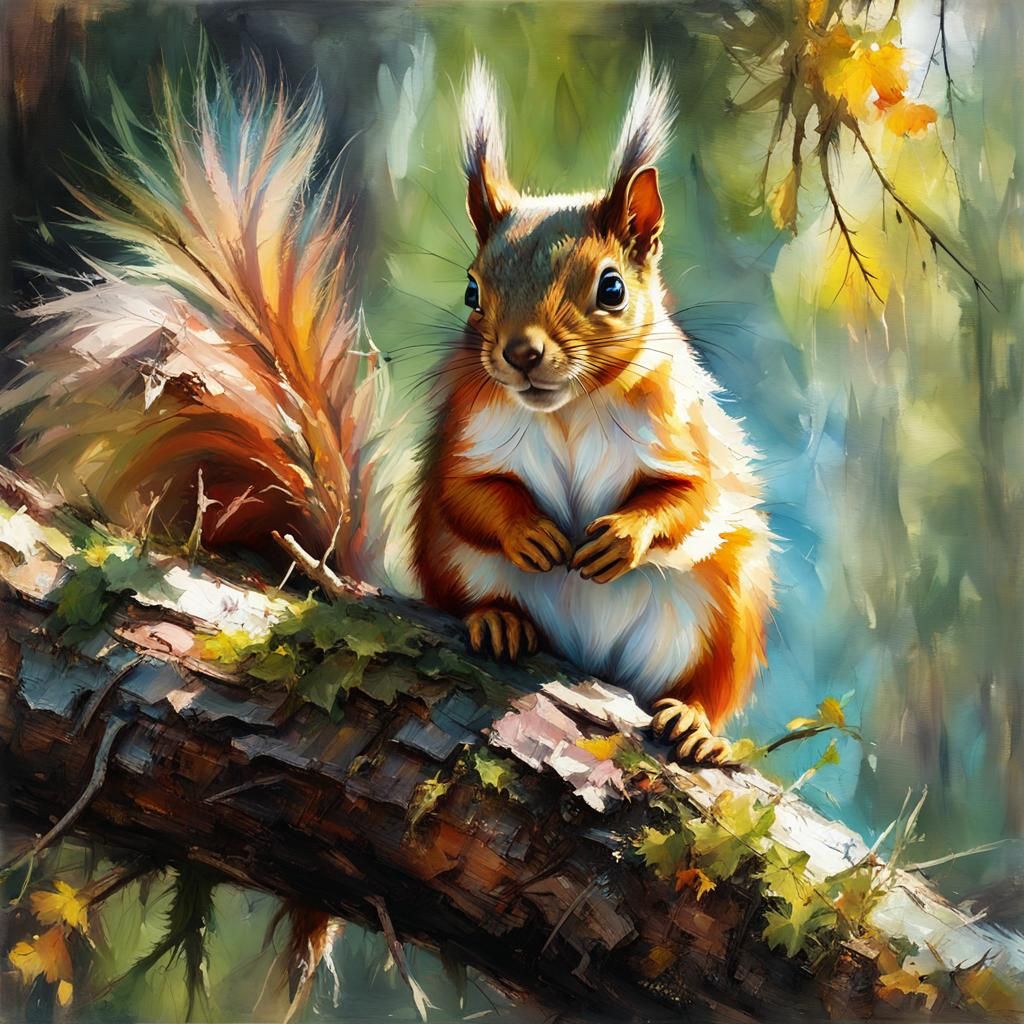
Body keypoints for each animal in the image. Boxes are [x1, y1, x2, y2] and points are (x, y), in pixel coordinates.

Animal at [412, 55, 775, 764]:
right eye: (472, 291)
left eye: (612, 288)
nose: (521, 353)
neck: (568, 409)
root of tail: (591, 657)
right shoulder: (464, 434)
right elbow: (463, 492)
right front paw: (530, 531)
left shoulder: (683, 433)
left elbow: (690, 497)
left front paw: (622, 537)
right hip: (449, 561)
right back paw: (497, 619)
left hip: (729, 605)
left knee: (709, 684)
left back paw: (693, 722)